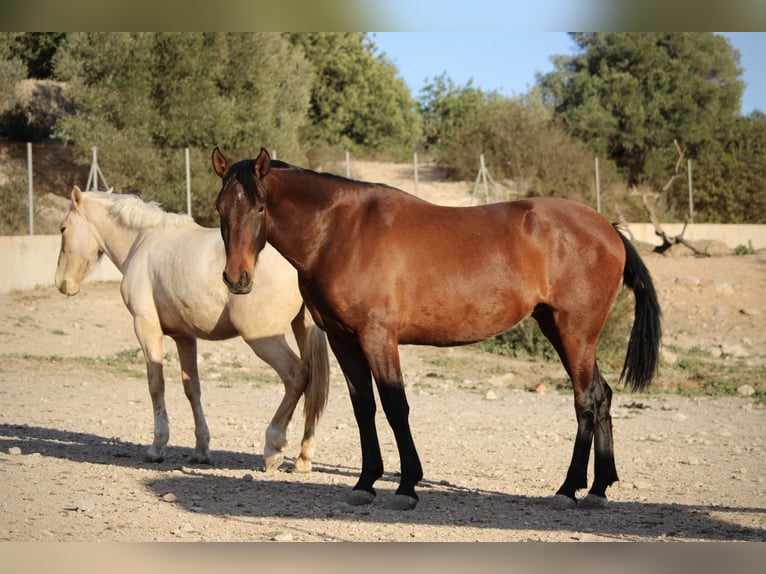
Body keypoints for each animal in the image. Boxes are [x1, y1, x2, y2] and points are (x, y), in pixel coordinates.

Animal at [53, 187, 330, 474]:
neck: (142, 242)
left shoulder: (146, 328)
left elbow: (156, 385)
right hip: (301, 328)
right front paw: (201, 450)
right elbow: (192, 388)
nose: (62, 283)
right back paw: (303, 458)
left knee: (297, 376)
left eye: (63, 228)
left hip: (263, 339)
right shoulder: (184, 336)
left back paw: (272, 448)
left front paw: (157, 447)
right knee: (313, 385)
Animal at [213, 148, 664, 512]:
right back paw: (599, 489)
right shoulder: (344, 339)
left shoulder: (378, 336)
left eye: (259, 208)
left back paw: (568, 490)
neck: (340, 233)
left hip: (575, 333)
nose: (237, 279)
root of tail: (607, 228)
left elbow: (395, 406)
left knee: (586, 400)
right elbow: (364, 408)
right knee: (602, 396)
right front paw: (365, 483)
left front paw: (407, 486)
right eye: (220, 208)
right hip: (561, 330)